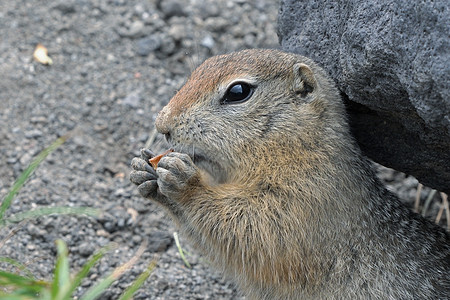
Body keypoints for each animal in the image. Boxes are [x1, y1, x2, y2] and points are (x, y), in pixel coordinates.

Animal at [130, 48, 450, 298]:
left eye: (238, 92)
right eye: (197, 71)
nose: (162, 124)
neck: (297, 148)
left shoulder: (311, 194)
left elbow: (253, 230)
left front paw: (186, 182)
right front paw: (145, 171)